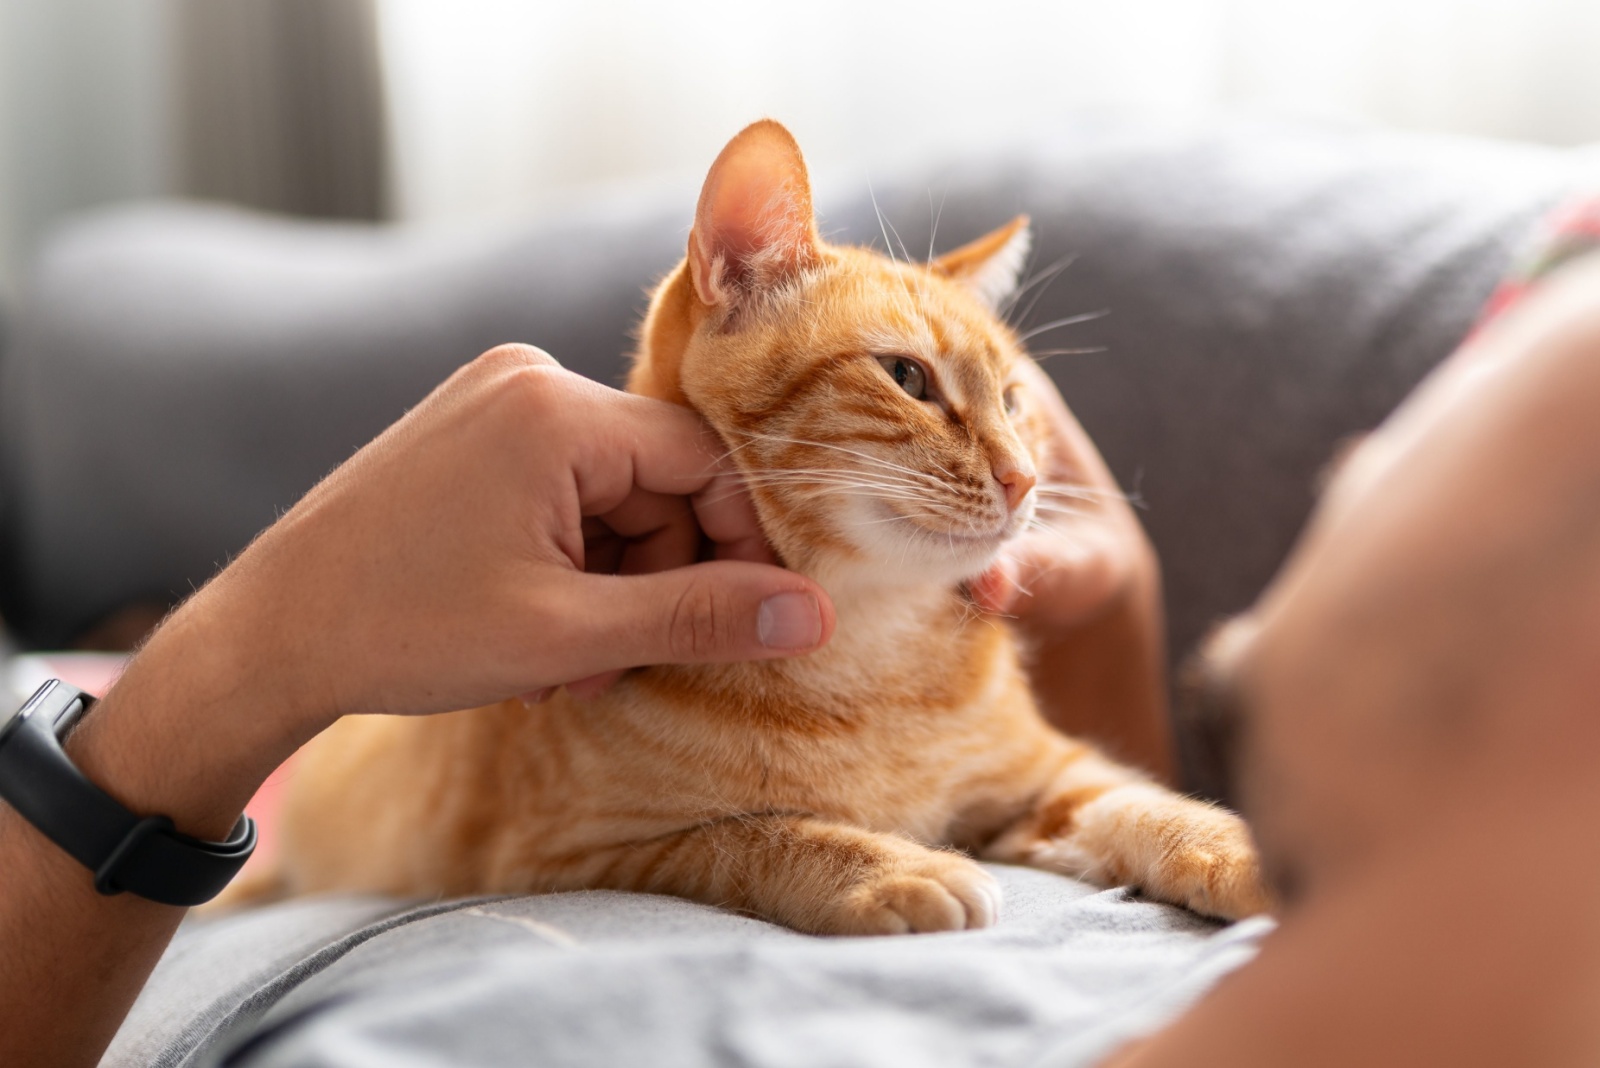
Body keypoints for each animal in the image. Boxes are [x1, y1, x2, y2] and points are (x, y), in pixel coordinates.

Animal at [256, 119, 1267, 933]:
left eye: (1018, 402)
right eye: (909, 378)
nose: (1023, 480)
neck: (873, 662)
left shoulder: (1044, 782)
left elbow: (1145, 802)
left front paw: (1244, 850)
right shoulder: (577, 856)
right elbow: (759, 836)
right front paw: (892, 867)